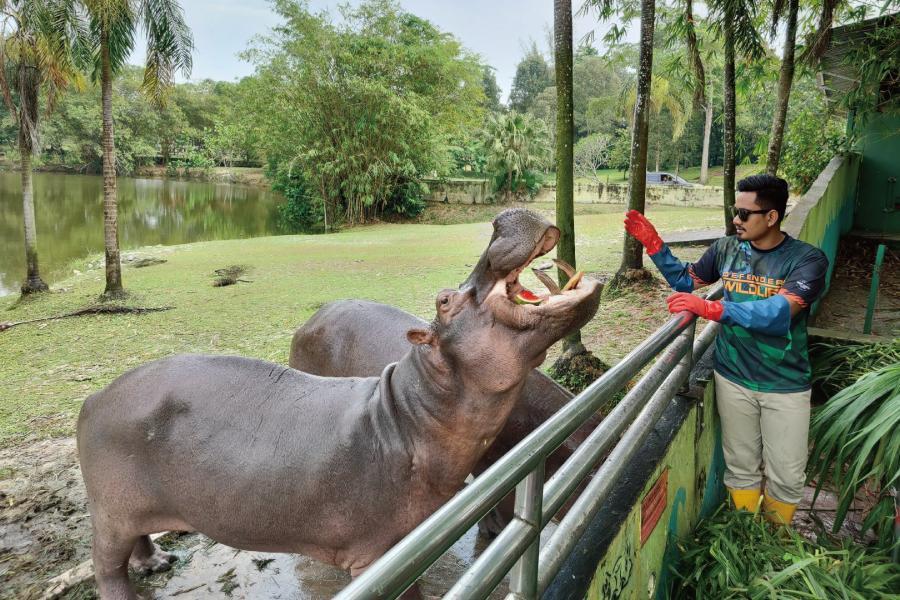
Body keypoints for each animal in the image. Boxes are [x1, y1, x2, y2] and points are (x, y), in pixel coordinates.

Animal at [75, 209, 596, 596]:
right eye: (444, 301)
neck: (411, 414)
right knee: (106, 566)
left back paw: (160, 563)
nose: (500, 221)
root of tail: (94, 397)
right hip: (110, 512)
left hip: (132, 508)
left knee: (137, 541)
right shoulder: (381, 554)